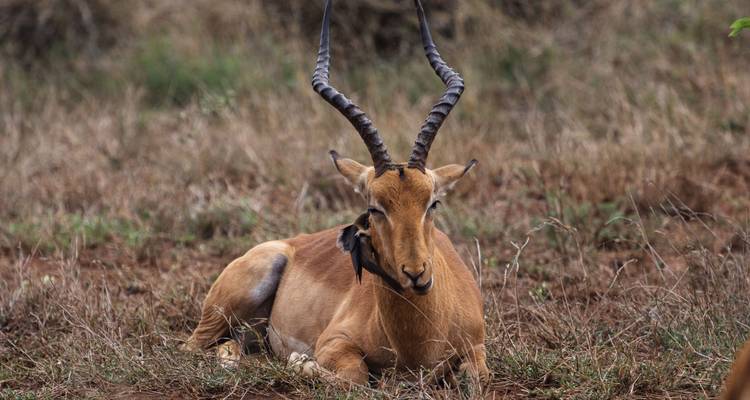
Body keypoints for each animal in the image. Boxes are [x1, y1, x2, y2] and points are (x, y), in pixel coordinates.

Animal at [182, 0, 489, 385]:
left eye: (432, 203)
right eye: (374, 208)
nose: (416, 273)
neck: (419, 340)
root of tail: (289, 244)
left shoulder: (477, 348)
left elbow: (476, 376)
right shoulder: (334, 343)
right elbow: (355, 376)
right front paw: (300, 362)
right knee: (195, 349)